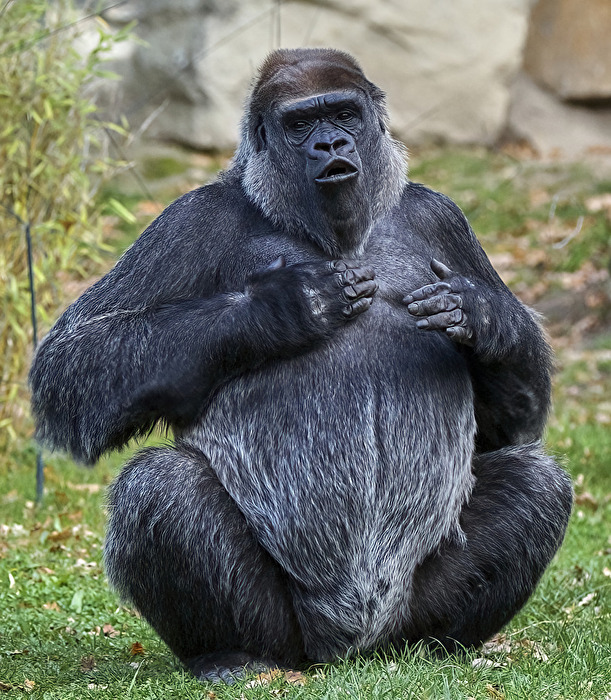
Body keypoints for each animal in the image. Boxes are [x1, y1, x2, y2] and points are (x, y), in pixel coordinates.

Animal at [29, 48, 573, 683]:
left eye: (343, 113)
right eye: (300, 123)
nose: (331, 143)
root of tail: (346, 651)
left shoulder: (443, 219)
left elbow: (512, 423)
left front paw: (481, 316)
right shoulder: (190, 221)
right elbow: (75, 360)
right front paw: (282, 308)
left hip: (400, 624)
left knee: (538, 484)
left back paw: (441, 646)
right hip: (289, 637)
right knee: (159, 486)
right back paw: (228, 654)